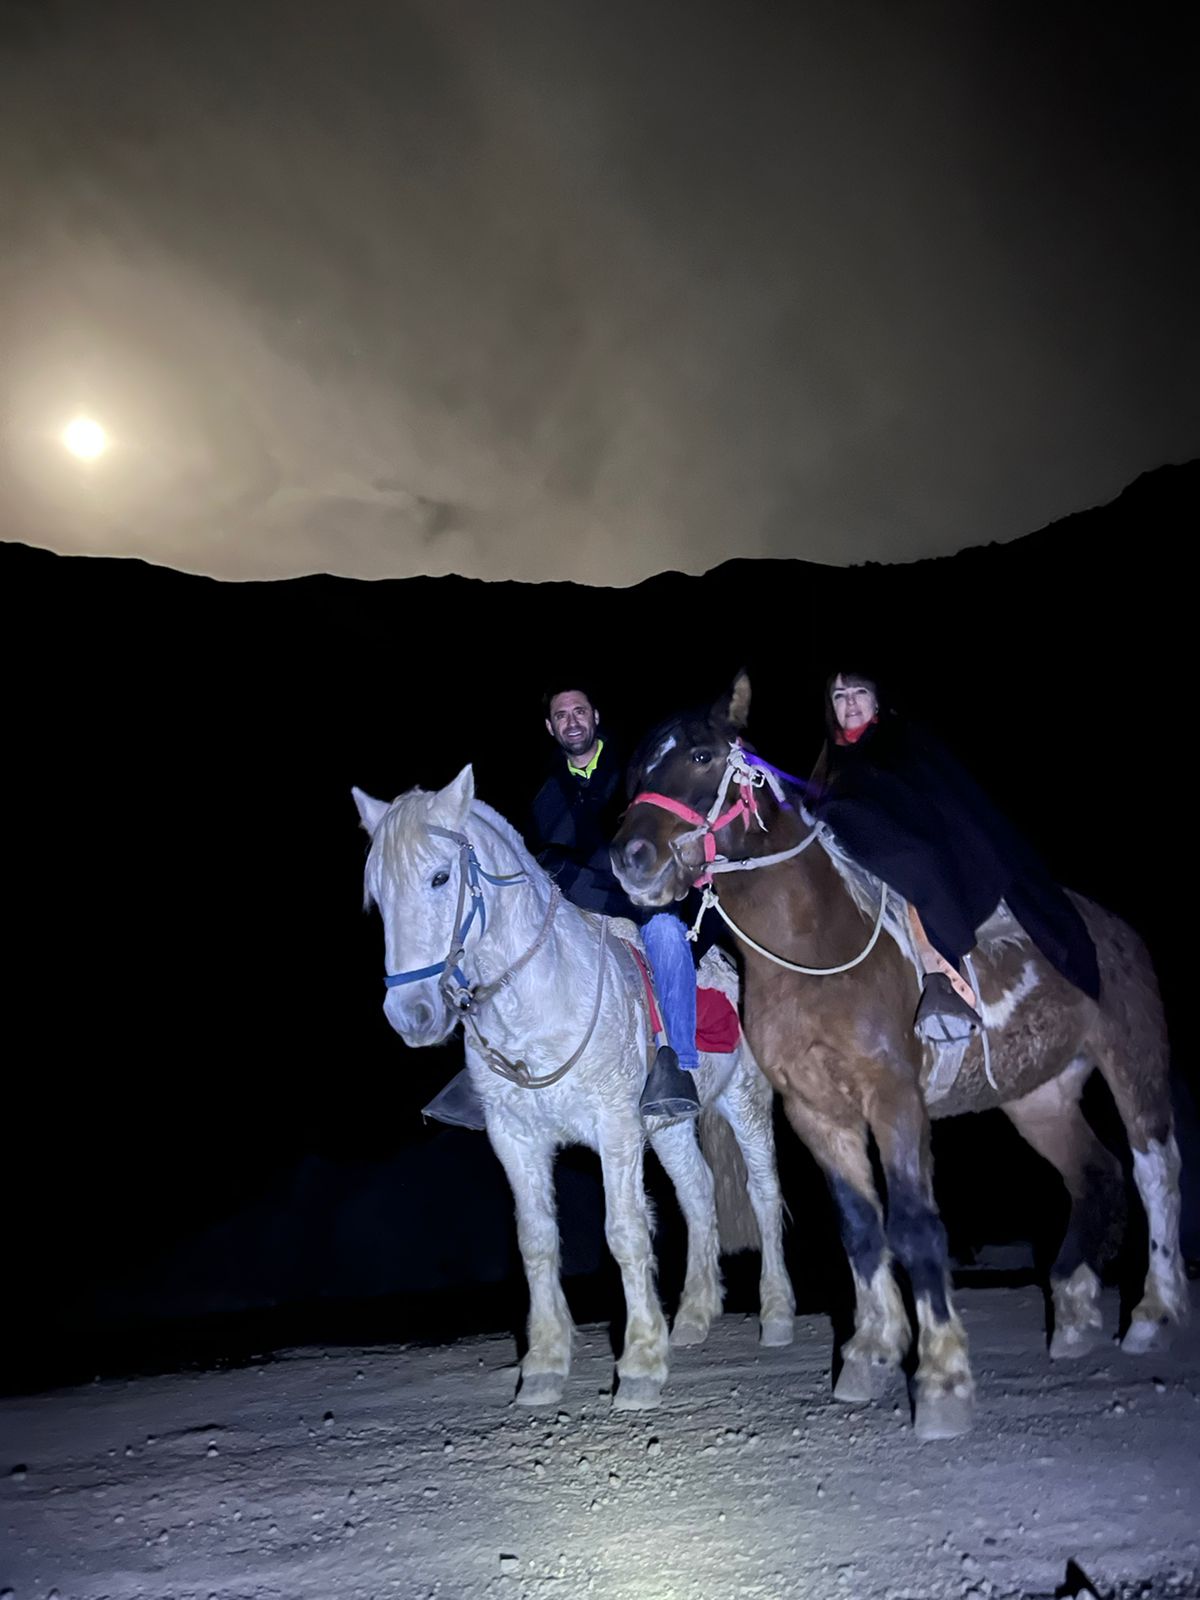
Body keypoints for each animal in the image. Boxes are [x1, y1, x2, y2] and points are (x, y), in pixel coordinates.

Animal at [352, 768, 793, 1408]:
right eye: (378, 897)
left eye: (439, 877)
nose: (410, 1015)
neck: (539, 999)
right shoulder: (515, 1140)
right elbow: (536, 1241)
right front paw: (543, 1363)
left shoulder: (615, 1128)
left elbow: (626, 1232)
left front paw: (641, 1362)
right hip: (670, 1127)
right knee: (698, 1194)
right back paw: (693, 1315)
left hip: (746, 1105)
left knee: (762, 1194)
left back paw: (777, 1314)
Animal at [614, 668, 1190, 1446]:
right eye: (639, 769)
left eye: (703, 757)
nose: (629, 859)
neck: (815, 950)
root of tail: (1114, 927)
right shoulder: (817, 1113)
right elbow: (861, 1229)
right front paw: (871, 1352)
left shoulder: (894, 1099)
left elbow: (915, 1225)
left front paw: (942, 1379)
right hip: (1037, 1098)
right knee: (1094, 1174)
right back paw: (1071, 1310)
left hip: (1132, 1063)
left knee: (1157, 1172)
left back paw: (1154, 1312)